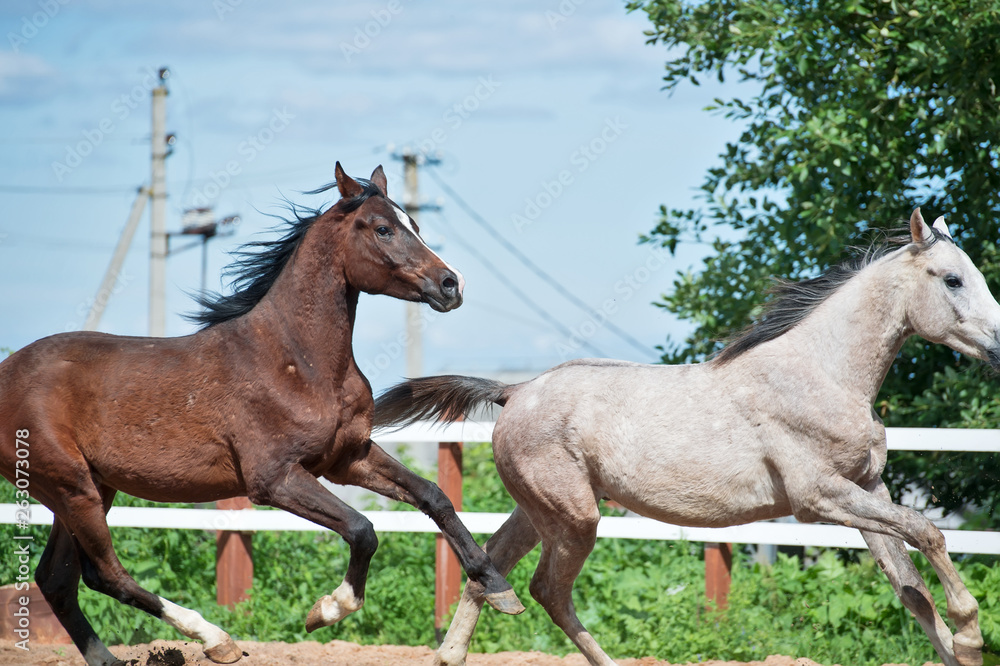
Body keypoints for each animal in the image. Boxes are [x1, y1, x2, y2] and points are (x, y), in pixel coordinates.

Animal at [0, 163, 523, 666]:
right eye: (382, 229)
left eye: (414, 224)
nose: (451, 285)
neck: (298, 361)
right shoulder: (274, 479)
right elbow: (363, 530)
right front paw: (326, 610)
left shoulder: (347, 458)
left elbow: (434, 497)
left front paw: (500, 589)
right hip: (72, 488)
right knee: (104, 574)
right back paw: (217, 640)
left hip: (89, 488)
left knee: (57, 580)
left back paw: (111, 658)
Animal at [373, 209, 997, 666]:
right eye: (953, 279)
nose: (998, 347)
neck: (822, 374)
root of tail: (515, 391)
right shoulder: (818, 498)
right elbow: (929, 533)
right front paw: (971, 635)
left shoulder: (868, 489)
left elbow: (911, 587)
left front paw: (956, 650)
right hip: (574, 517)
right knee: (548, 590)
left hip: (540, 511)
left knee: (489, 572)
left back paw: (450, 656)